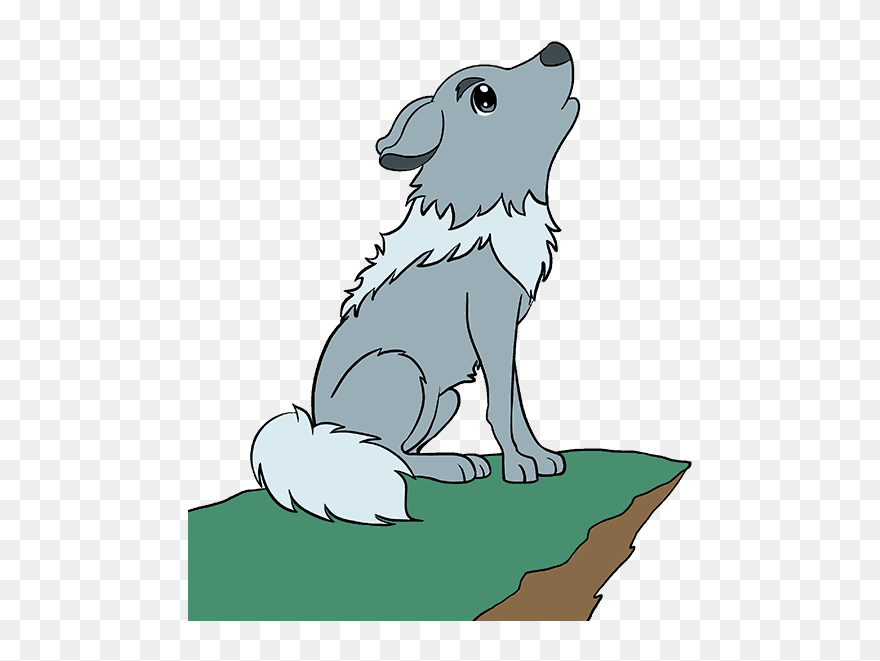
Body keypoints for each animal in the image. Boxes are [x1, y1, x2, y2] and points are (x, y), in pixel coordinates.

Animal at [251, 42, 580, 524]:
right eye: (484, 97)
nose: (555, 50)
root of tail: (318, 434)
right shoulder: (490, 324)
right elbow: (501, 405)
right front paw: (518, 467)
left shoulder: (507, 334)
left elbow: (516, 402)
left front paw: (538, 456)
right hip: (404, 369)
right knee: (391, 455)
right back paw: (454, 466)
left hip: (445, 398)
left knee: (397, 451)